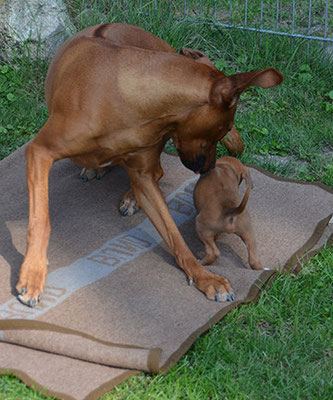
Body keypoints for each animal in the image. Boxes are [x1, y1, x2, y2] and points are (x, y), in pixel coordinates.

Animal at [14, 23, 280, 306]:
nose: (209, 168)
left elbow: (175, 235)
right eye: (224, 129)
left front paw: (204, 277)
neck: (124, 97)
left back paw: (129, 194)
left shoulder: (143, 172)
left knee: (157, 170)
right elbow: (40, 219)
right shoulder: (40, 152)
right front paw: (33, 272)